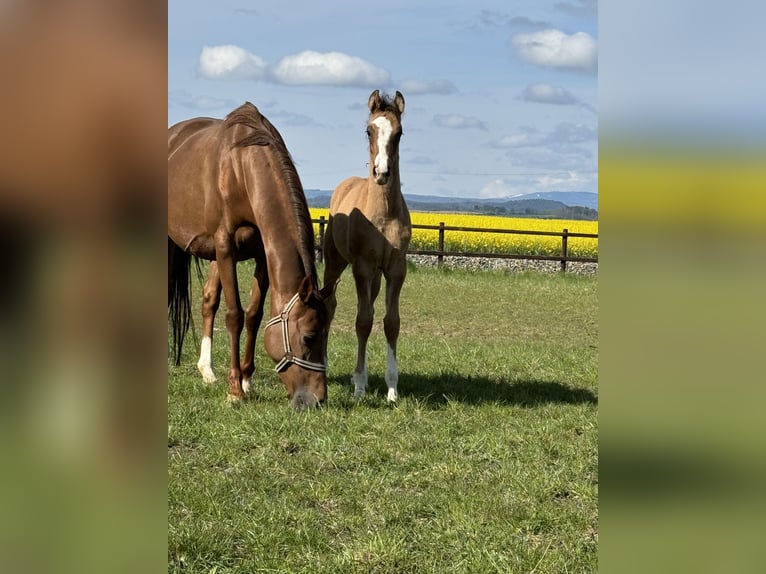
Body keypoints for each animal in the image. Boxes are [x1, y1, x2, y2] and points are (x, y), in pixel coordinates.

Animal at [168, 103, 330, 410]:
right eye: (309, 336)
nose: (316, 400)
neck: (240, 168)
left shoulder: (261, 255)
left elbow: (254, 316)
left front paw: (246, 380)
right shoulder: (225, 247)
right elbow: (235, 315)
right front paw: (235, 391)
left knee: (209, 300)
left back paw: (207, 370)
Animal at [322, 91, 412, 404]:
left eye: (399, 133)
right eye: (369, 130)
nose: (381, 172)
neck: (383, 215)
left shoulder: (396, 268)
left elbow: (390, 322)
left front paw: (392, 389)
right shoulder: (362, 266)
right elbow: (362, 321)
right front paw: (359, 386)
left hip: (375, 277)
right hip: (336, 262)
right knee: (329, 303)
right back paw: (323, 363)